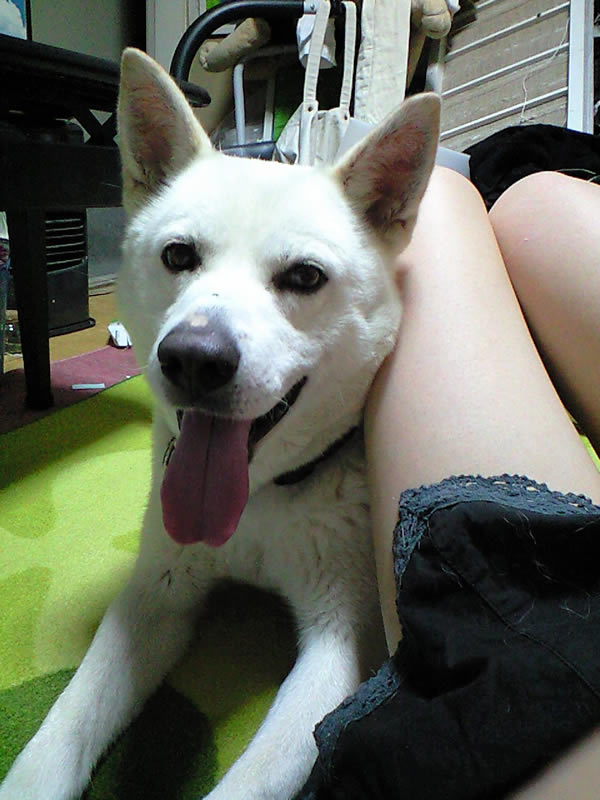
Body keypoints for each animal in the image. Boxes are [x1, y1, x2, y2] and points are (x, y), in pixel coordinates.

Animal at [0, 49, 439, 800]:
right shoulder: (155, 593)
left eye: (304, 277)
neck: (258, 503)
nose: (194, 359)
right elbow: (62, 729)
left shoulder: (341, 645)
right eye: (179, 256)